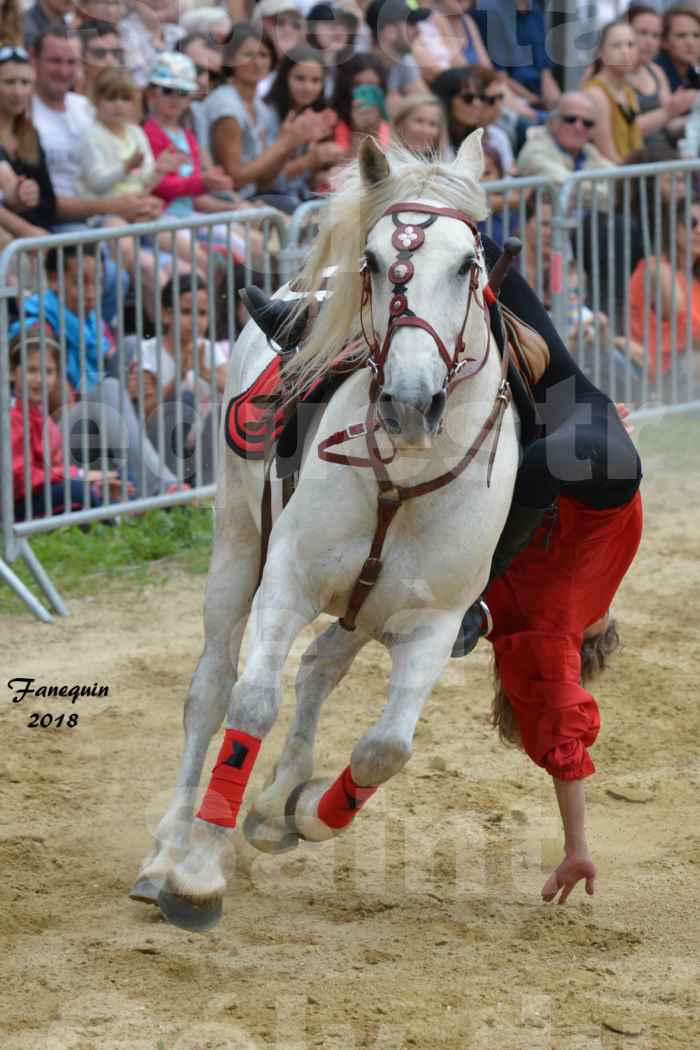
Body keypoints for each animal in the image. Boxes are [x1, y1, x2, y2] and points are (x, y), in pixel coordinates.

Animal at [130, 133, 520, 936]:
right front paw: (197, 873)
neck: (403, 472)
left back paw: (280, 800)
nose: (410, 401)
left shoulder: (433, 622)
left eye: (467, 265)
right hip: (236, 548)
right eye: (374, 263)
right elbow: (251, 704)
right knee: (212, 690)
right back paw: (167, 850)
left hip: (365, 609)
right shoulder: (286, 581)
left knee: (319, 669)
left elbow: (385, 750)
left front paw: (298, 812)